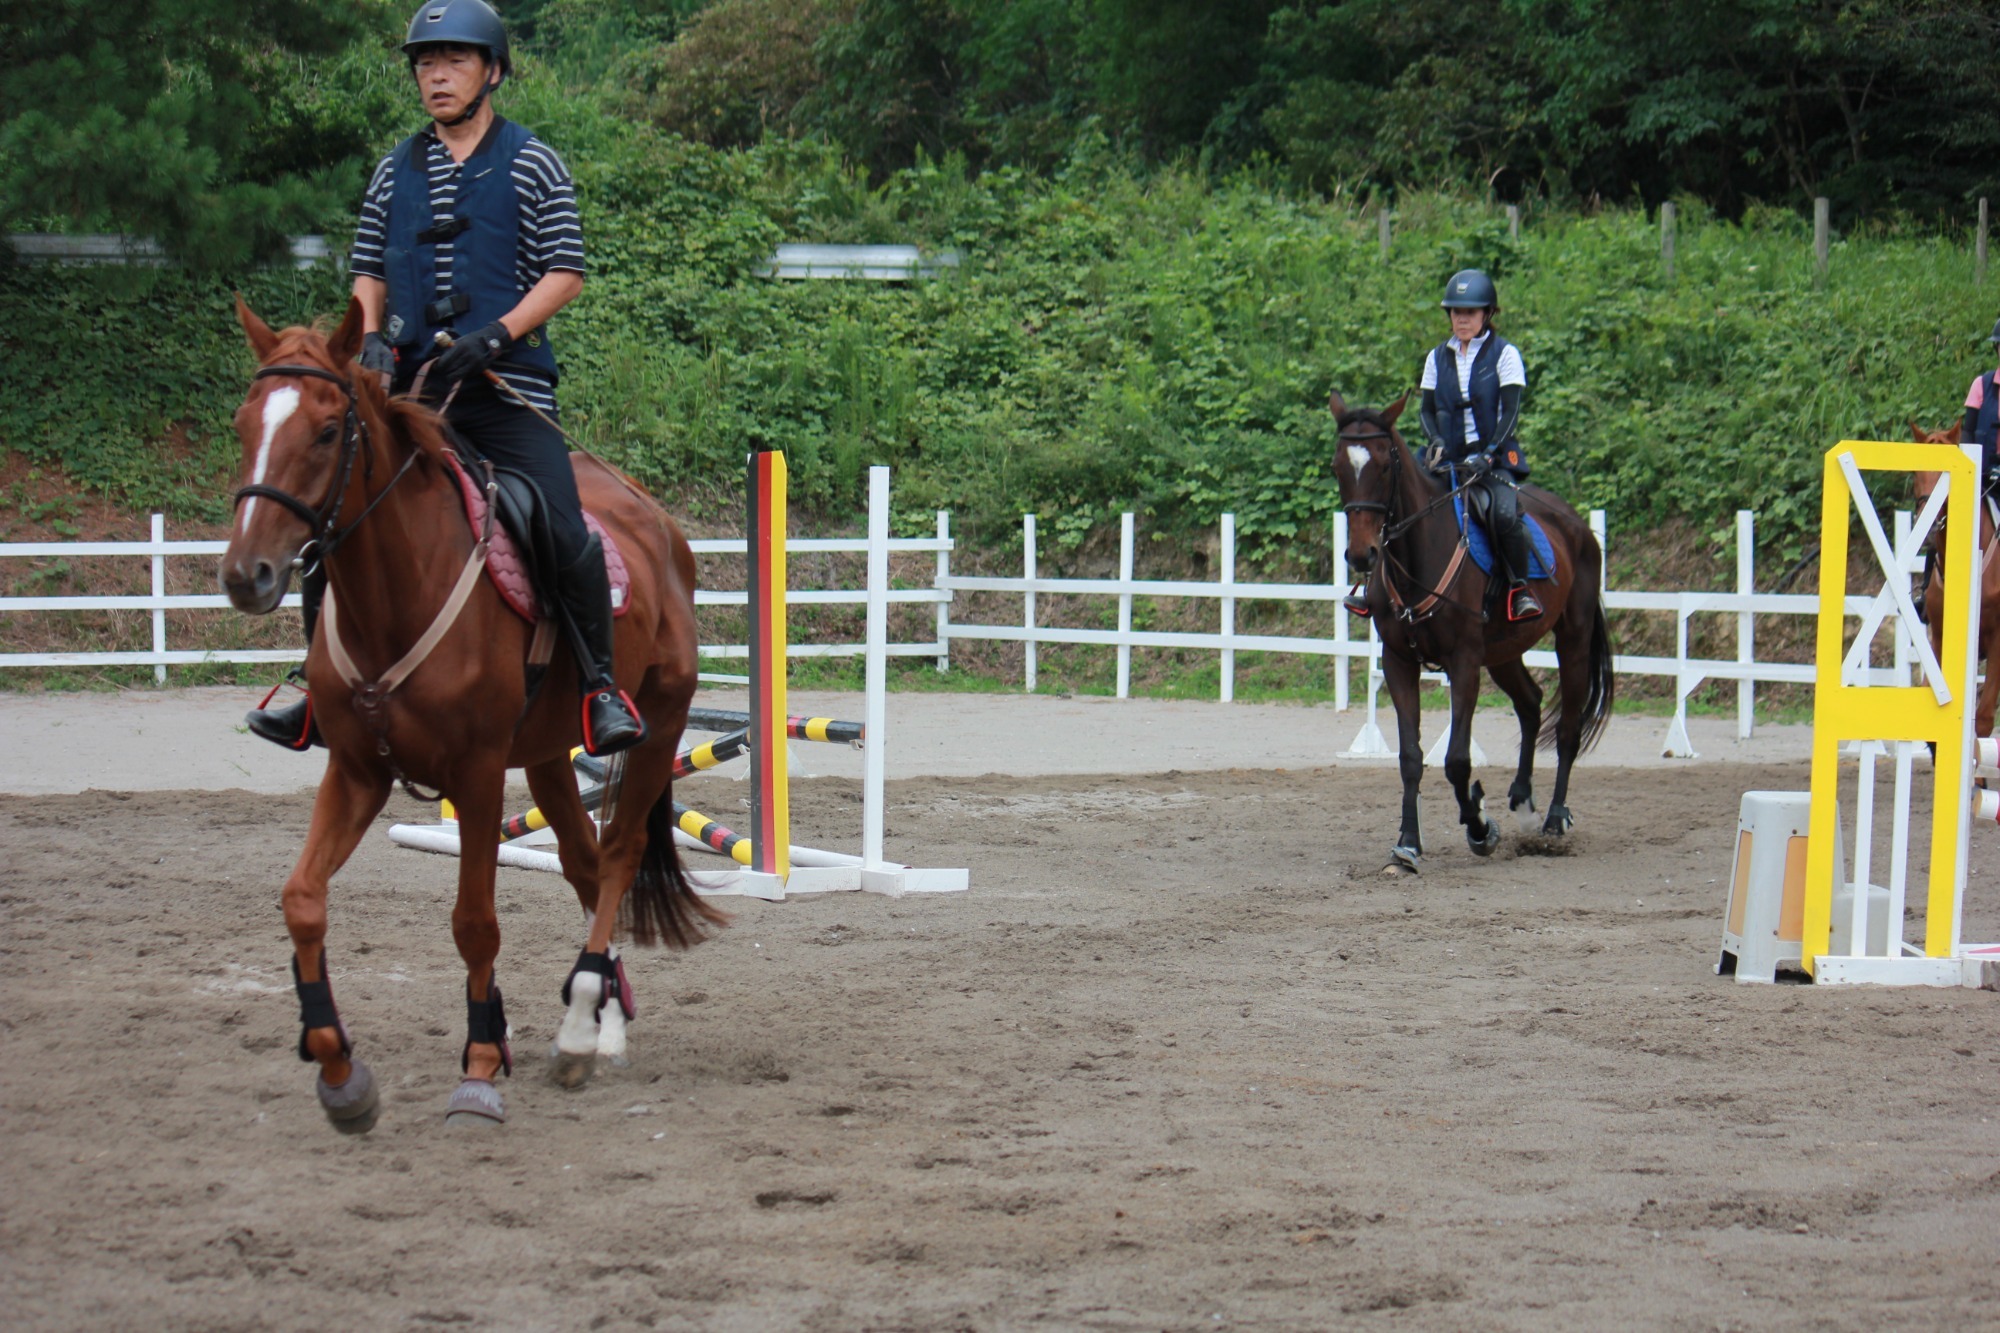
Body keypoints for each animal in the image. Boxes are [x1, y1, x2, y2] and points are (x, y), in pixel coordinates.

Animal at [223, 296, 724, 1128]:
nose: (245, 574)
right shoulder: (356, 769)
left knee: (618, 853)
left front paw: (482, 1061)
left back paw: (579, 1028)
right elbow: (302, 900)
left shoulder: (480, 774)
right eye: (242, 424)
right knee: (584, 862)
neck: (397, 589)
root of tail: (656, 521)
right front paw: (338, 1071)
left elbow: (475, 922)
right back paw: (601, 1020)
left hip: (658, 726)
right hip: (551, 755)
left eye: (326, 431)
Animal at [1328, 384, 1624, 868]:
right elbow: (1410, 757)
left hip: (1573, 639)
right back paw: (1522, 801)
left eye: (1385, 463)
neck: (1419, 553)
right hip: (1503, 653)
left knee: (1567, 730)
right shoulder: (1398, 662)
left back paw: (1554, 819)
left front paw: (1481, 827)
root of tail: (1576, 524)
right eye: (1339, 467)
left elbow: (1456, 761)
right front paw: (1408, 842)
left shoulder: (1464, 662)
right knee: (1530, 703)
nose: (1361, 555)